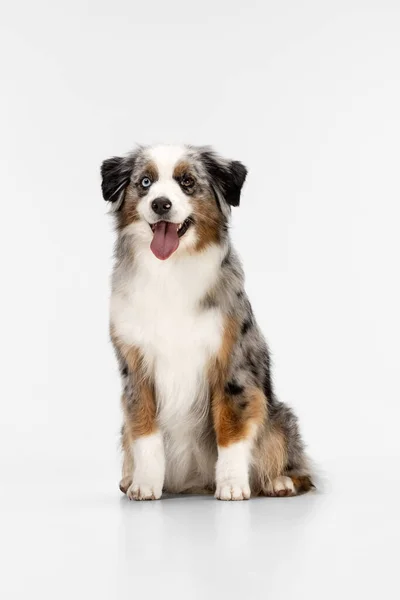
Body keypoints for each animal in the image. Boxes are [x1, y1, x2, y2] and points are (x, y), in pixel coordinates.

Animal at [100, 143, 312, 500]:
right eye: (145, 182)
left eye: (187, 181)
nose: (160, 204)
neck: (169, 271)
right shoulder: (136, 367)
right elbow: (144, 429)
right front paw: (145, 484)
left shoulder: (232, 363)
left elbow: (231, 428)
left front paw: (232, 485)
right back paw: (129, 478)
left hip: (279, 414)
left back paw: (279, 481)